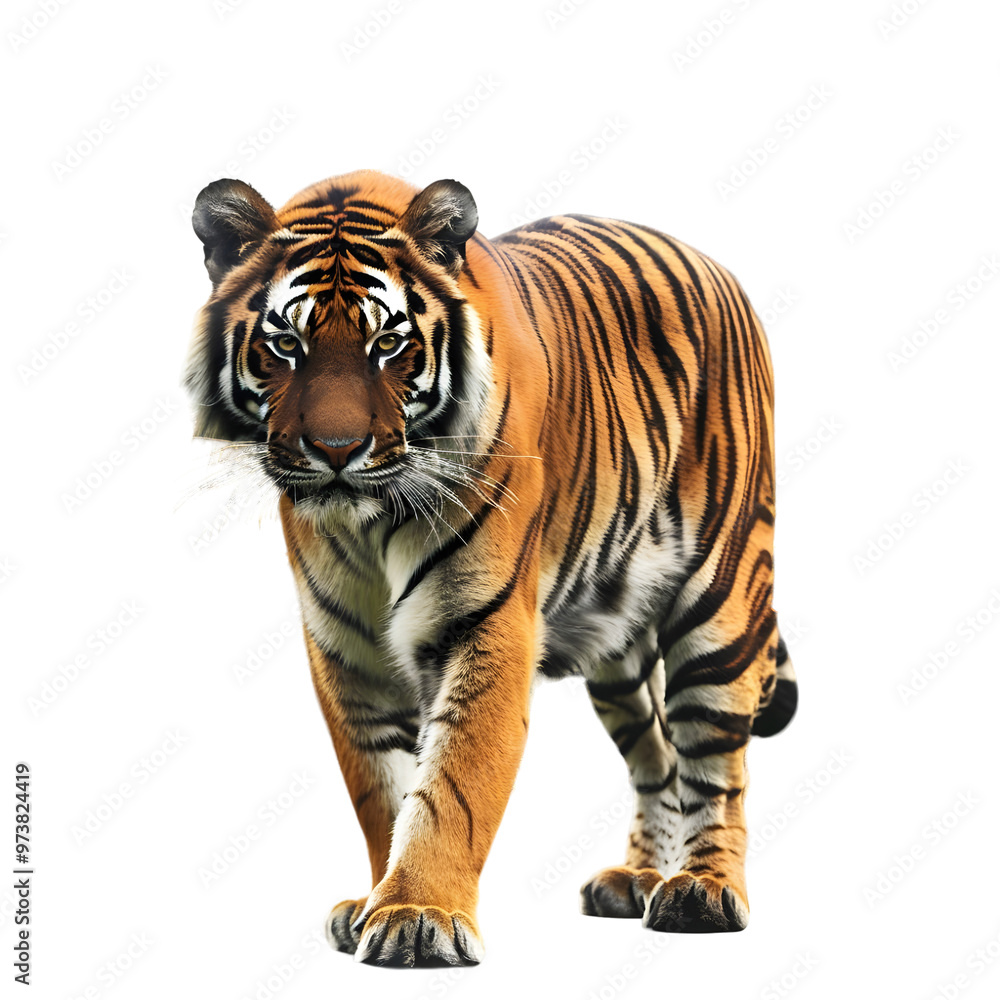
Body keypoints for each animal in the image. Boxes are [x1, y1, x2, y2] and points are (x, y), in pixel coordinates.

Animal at [185, 169, 798, 967]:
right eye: (285, 343)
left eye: (388, 343)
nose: (337, 450)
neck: (369, 521)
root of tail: (713, 264)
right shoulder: (346, 652)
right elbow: (382, 789)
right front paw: (377, 901)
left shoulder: (487, 626)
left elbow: (454, 785)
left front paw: (418, 915)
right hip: (617, 649)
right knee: (659, 755)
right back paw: (636, 879)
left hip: (720, 602)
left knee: (716, 761)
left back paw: (703, 890)